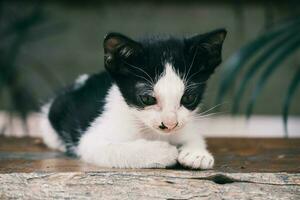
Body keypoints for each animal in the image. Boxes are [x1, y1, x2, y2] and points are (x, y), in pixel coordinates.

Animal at [40, 28, 227, 169]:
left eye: (188, 97)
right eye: (147, 99)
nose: (170, 124)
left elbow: (192, 134)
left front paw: (196, 153)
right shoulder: (91, 140)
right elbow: (115, 149)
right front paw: (163, 152)